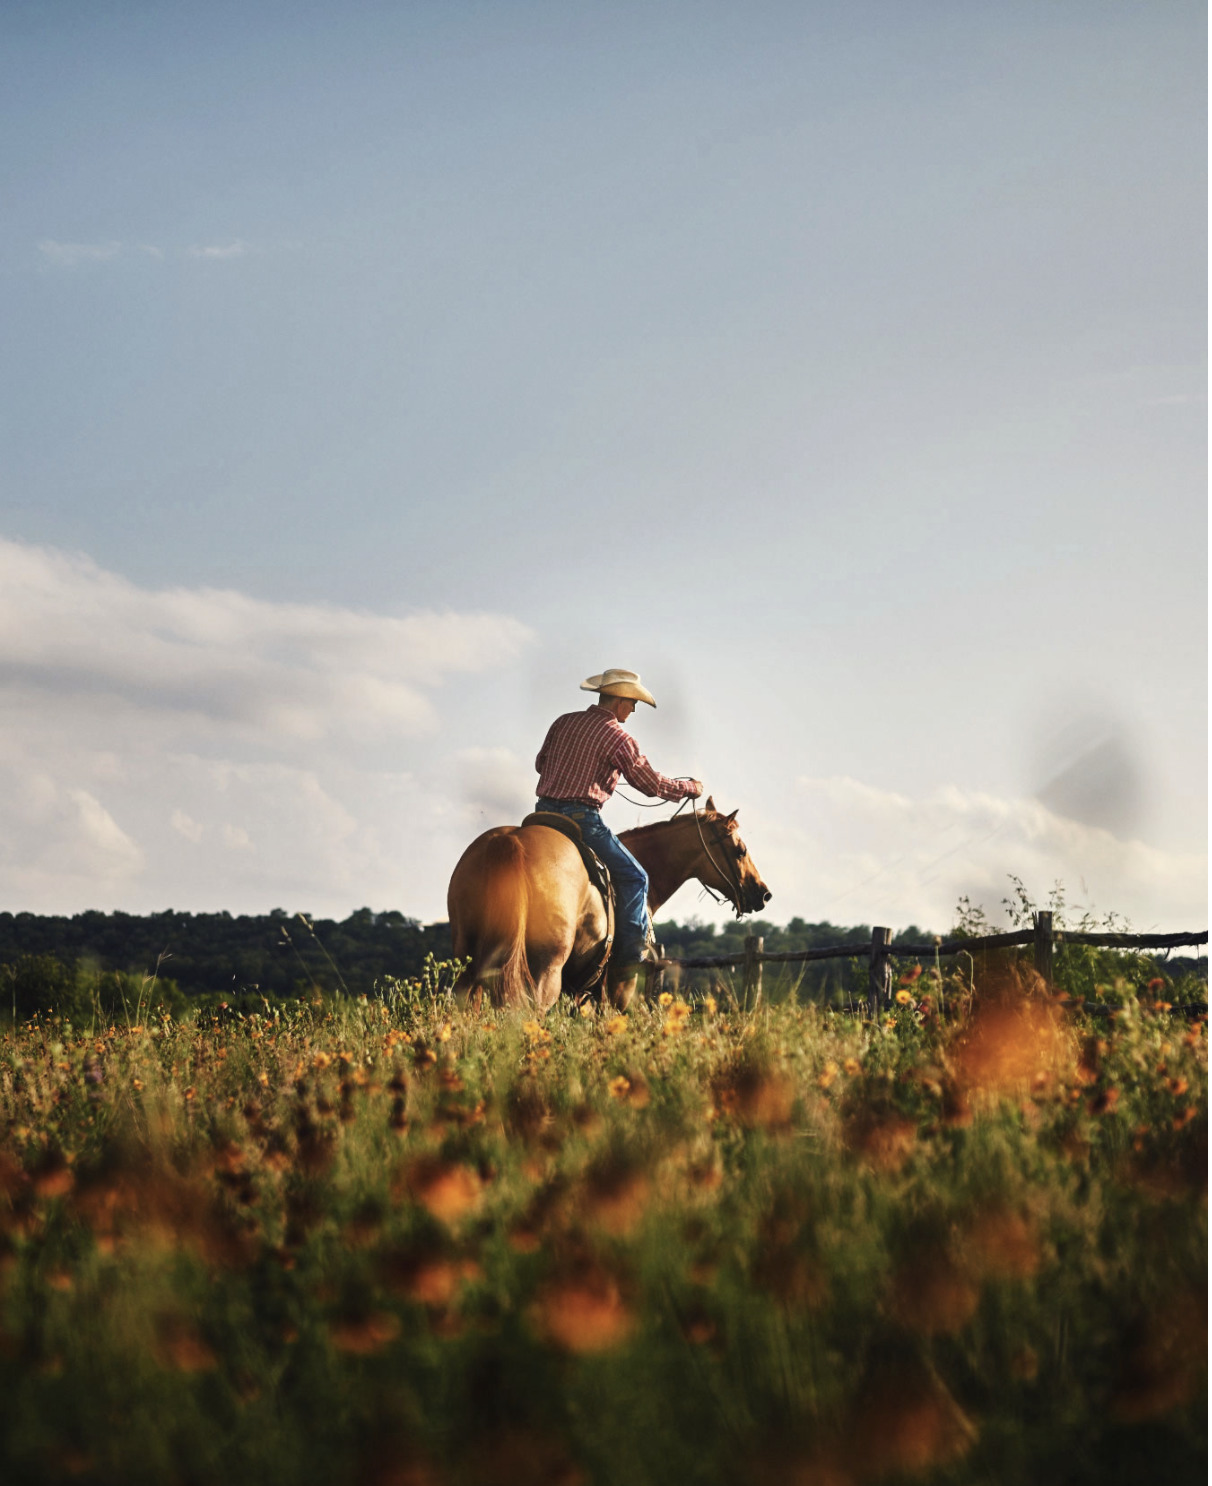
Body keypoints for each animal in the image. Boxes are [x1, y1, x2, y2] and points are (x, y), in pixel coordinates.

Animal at [442, 796, 766, 1016]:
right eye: (740, 850)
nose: (763, 893)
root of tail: (511, 842)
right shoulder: (620, 983)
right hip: (546, 971)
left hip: (469, 965)